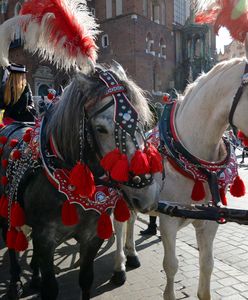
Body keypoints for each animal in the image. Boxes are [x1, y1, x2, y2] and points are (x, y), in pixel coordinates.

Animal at [113, 56, 248, 300]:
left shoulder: (210, 222)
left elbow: (207, 265)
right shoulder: (168, 220)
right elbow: (171, 265)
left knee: (130, 219)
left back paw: (132, 254)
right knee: (118, 226)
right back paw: (119, 266)